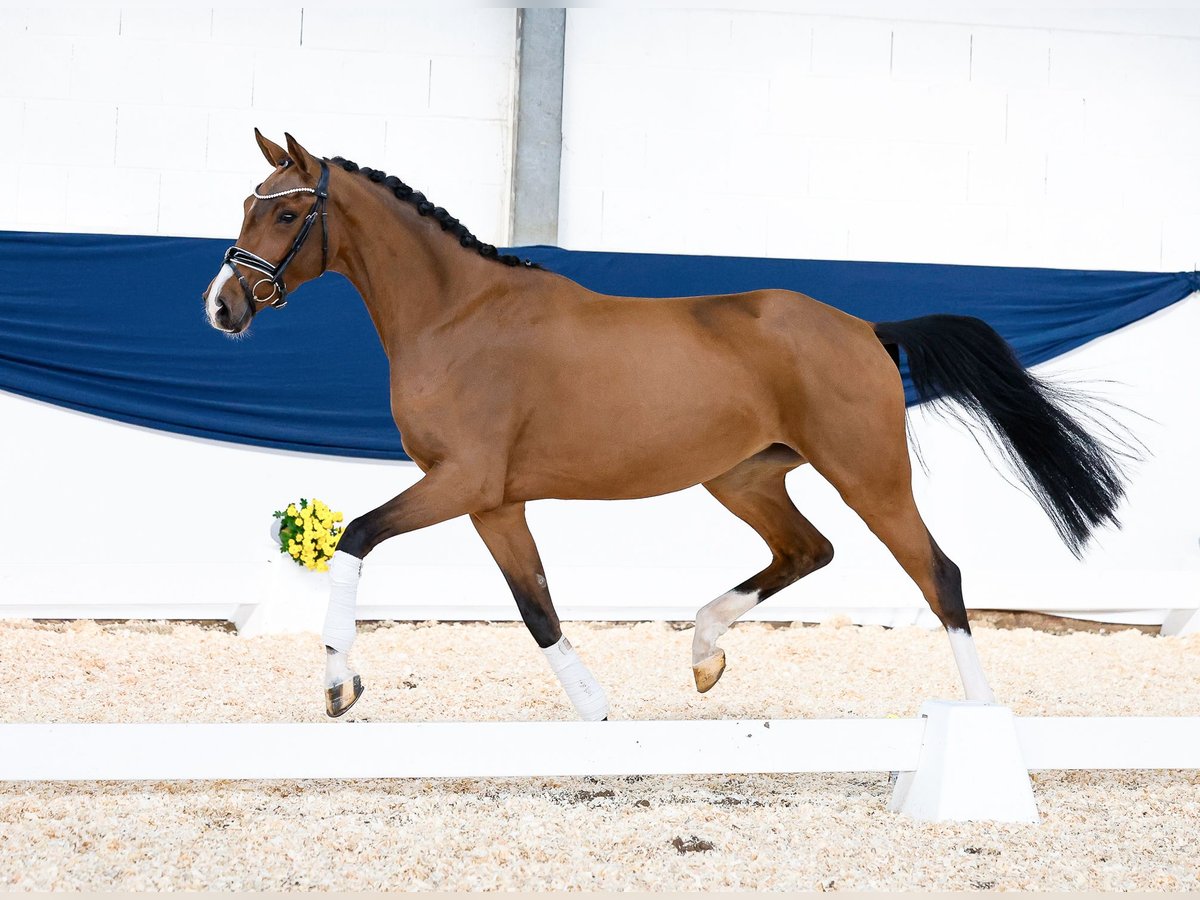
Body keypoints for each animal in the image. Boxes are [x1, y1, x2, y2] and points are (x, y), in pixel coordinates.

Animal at [201, 133, 1128, 724]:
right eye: (248, 204)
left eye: (283, 215)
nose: (221, 307)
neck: (456, 316)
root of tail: (866, 328)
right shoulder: (494, 501)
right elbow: (535, 604)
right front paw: (595, 709)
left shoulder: (461, 481)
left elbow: (355, 538)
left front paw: (339, 687)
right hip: (744, 476)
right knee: (808, 550)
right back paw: (704, 654)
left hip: (868, 474)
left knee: (939, 574)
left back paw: (980, 714)